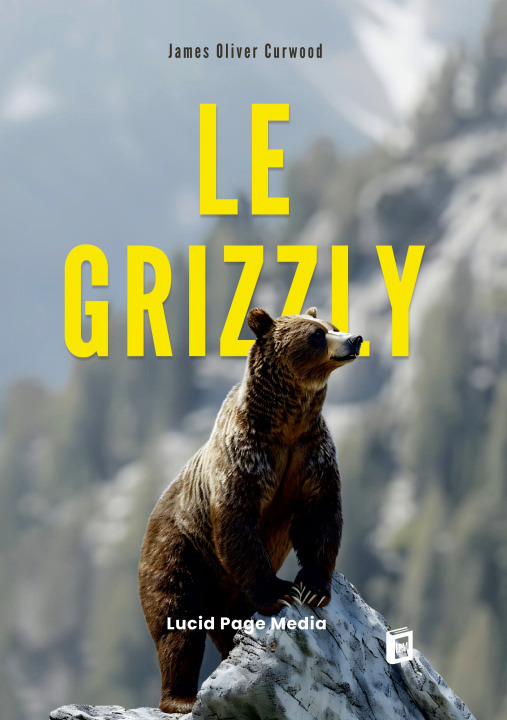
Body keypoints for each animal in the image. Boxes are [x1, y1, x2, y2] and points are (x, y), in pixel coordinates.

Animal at [138, 307, 363, 714]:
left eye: (334, 326)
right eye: (316, 334)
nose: (355, 339)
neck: (285, 424)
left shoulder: (312, 454)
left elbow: (320, 515)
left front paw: (313, 588)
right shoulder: (246, 458)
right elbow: (238, 523)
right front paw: (281, 592)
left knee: (225, 623)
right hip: (179, 553)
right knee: (177, 625)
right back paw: (181, 697)